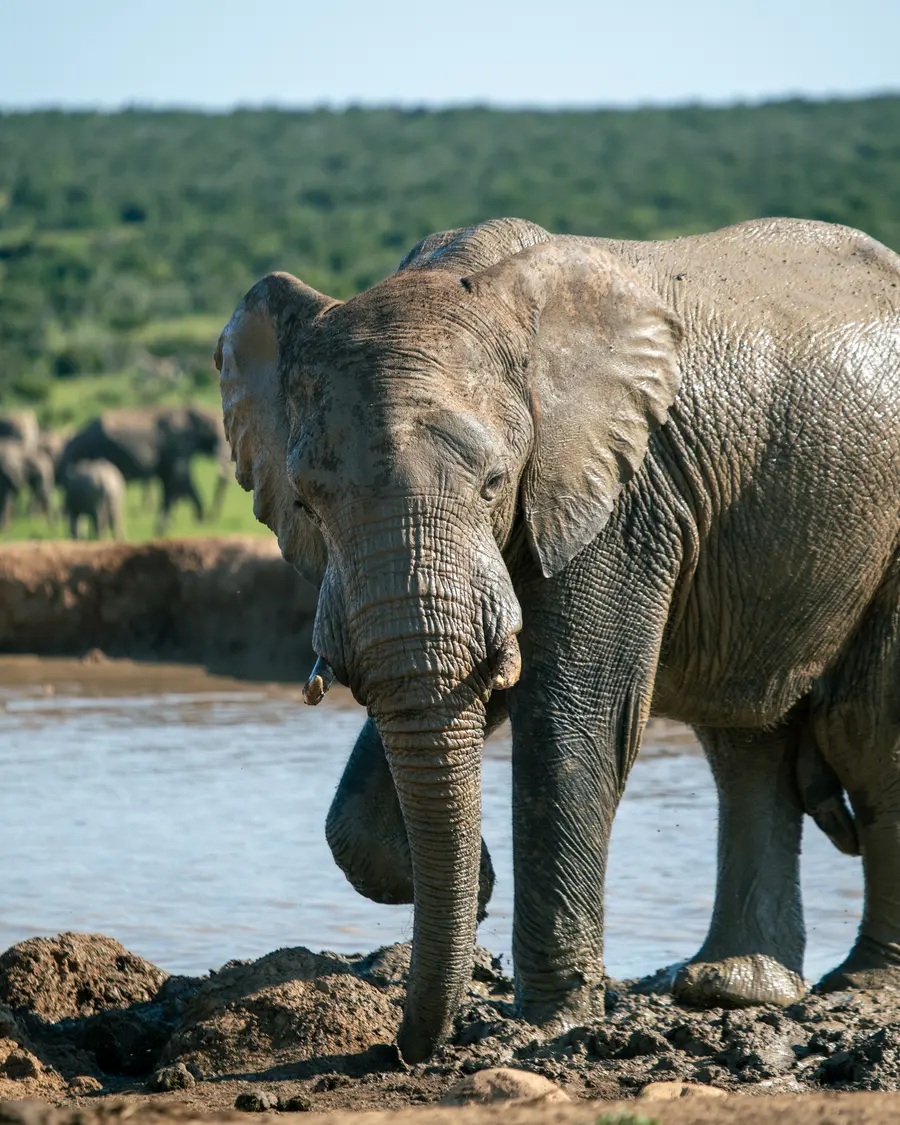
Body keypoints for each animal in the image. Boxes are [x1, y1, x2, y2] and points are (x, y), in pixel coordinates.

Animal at [58, 407, 229, 530]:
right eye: (214, 436)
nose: (210, 518)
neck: (194, 411)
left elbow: (177, 480)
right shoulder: (176, 445)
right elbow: (178, 478)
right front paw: (165, 526)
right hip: (94, 449)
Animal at [215, 215, 900, 1064]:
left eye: (493, 483)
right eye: (309, 501)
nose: (409, 1050)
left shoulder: (621, 497)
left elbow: (570, 719)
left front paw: (548, 1021)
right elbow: (445, 709)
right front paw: (469, 880)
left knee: (866, 732)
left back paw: (862, 982)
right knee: (745, 742)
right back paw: (734, 988)